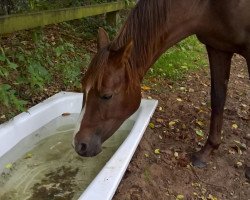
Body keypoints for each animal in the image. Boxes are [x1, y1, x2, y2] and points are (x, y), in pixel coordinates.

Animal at [73, 0, 250, 178]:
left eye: (107, 95)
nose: (79, 144)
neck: (208, 6)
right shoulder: (218, 48)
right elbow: (218, 99)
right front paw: (207, 151)